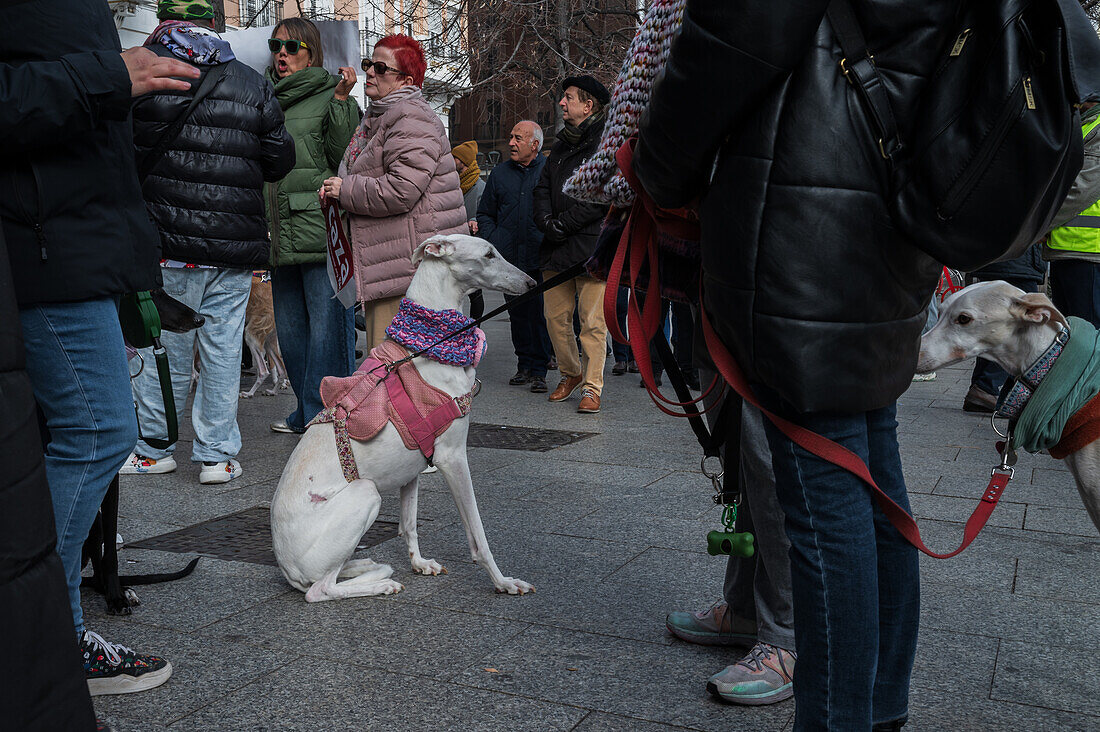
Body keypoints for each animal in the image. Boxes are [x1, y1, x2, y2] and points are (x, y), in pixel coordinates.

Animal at [270, 234, 536, 598]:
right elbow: (478, 535)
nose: (532, 283)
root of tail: (286, 568)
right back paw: (382, 583)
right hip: (365, 493)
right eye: (488, 254)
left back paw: (365, 566)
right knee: (320, 589)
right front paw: (503, 581)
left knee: (334, 574)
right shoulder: (452, 457)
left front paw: (419, 563)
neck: (429, 344)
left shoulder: (413, 466)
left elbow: (408, 524)